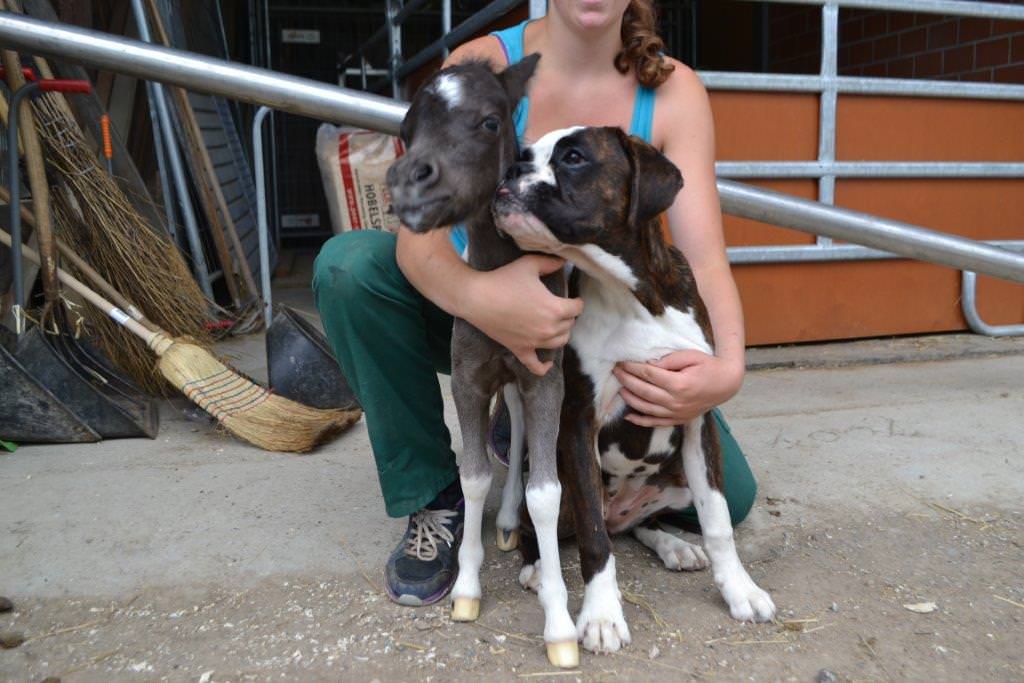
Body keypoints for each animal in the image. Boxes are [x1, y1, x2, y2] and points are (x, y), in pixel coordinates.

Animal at [386, 56, 580, 668]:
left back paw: (511, 519)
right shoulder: (470, 378)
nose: (406, 182)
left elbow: (547, 492)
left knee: (515, 426)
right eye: (406, 128)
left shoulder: (546, 377)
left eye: (490, 122)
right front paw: (467, 588)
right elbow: (472, 476)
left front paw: (560, 625)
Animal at [493, 126, 776, 654]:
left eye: (573, 158)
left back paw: (675, 545)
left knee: (640, 524)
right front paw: (602, 615)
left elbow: (718, 521)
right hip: (555, 489)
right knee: (548, 527)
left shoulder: (696, 416)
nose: (510, 171)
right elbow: (594, 541)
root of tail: (620, 511)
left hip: (675, 480)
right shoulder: (578, 424)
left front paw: (740, 589)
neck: (631, 295)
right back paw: (538, 567)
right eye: (524, 156)